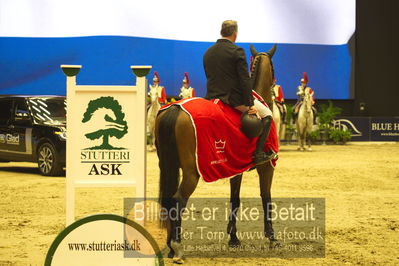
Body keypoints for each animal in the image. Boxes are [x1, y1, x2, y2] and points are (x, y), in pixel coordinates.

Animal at [155, 44, 280, 262]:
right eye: (273, 68)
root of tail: (175, 109)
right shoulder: (266, 167)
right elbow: (266, 198)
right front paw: (272, 238)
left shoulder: (237, 168)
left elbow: (235, 200)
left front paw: (233, 238)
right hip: (192, 173)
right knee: (178, 200)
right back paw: (178, 248)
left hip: (168, 165)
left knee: (169, 200)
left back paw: (170, 247)